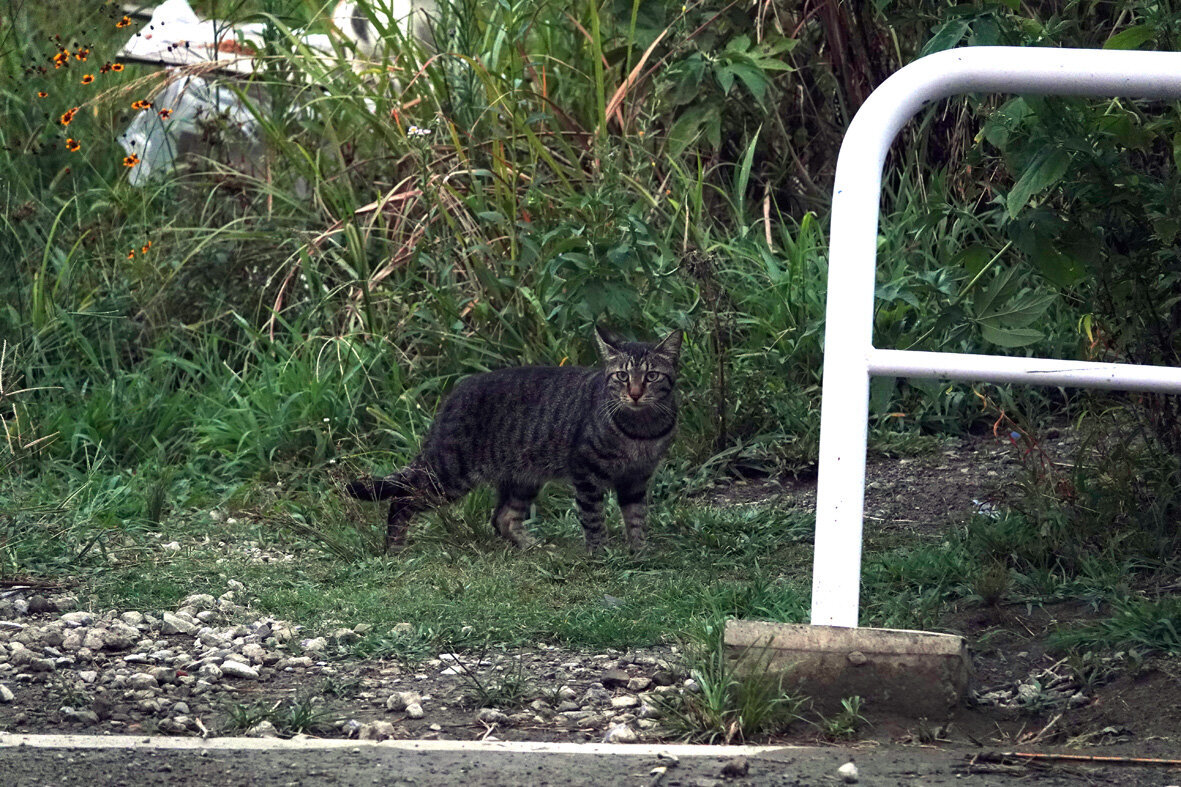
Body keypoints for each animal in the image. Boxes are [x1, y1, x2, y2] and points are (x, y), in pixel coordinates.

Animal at [344, 323, 684, 550]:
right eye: (622, 375)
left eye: (651, 376)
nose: (635, 393)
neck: (641, 431)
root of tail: (451, 397)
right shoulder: (585, 472)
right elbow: (594, 520)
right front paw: (600, 555)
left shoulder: (637, 478)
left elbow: (637, 518)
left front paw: (639, 553)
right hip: (448, 475)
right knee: (402, 498)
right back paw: (395, 548)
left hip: (523, 477)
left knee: (502, 518)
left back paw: (535, 547)